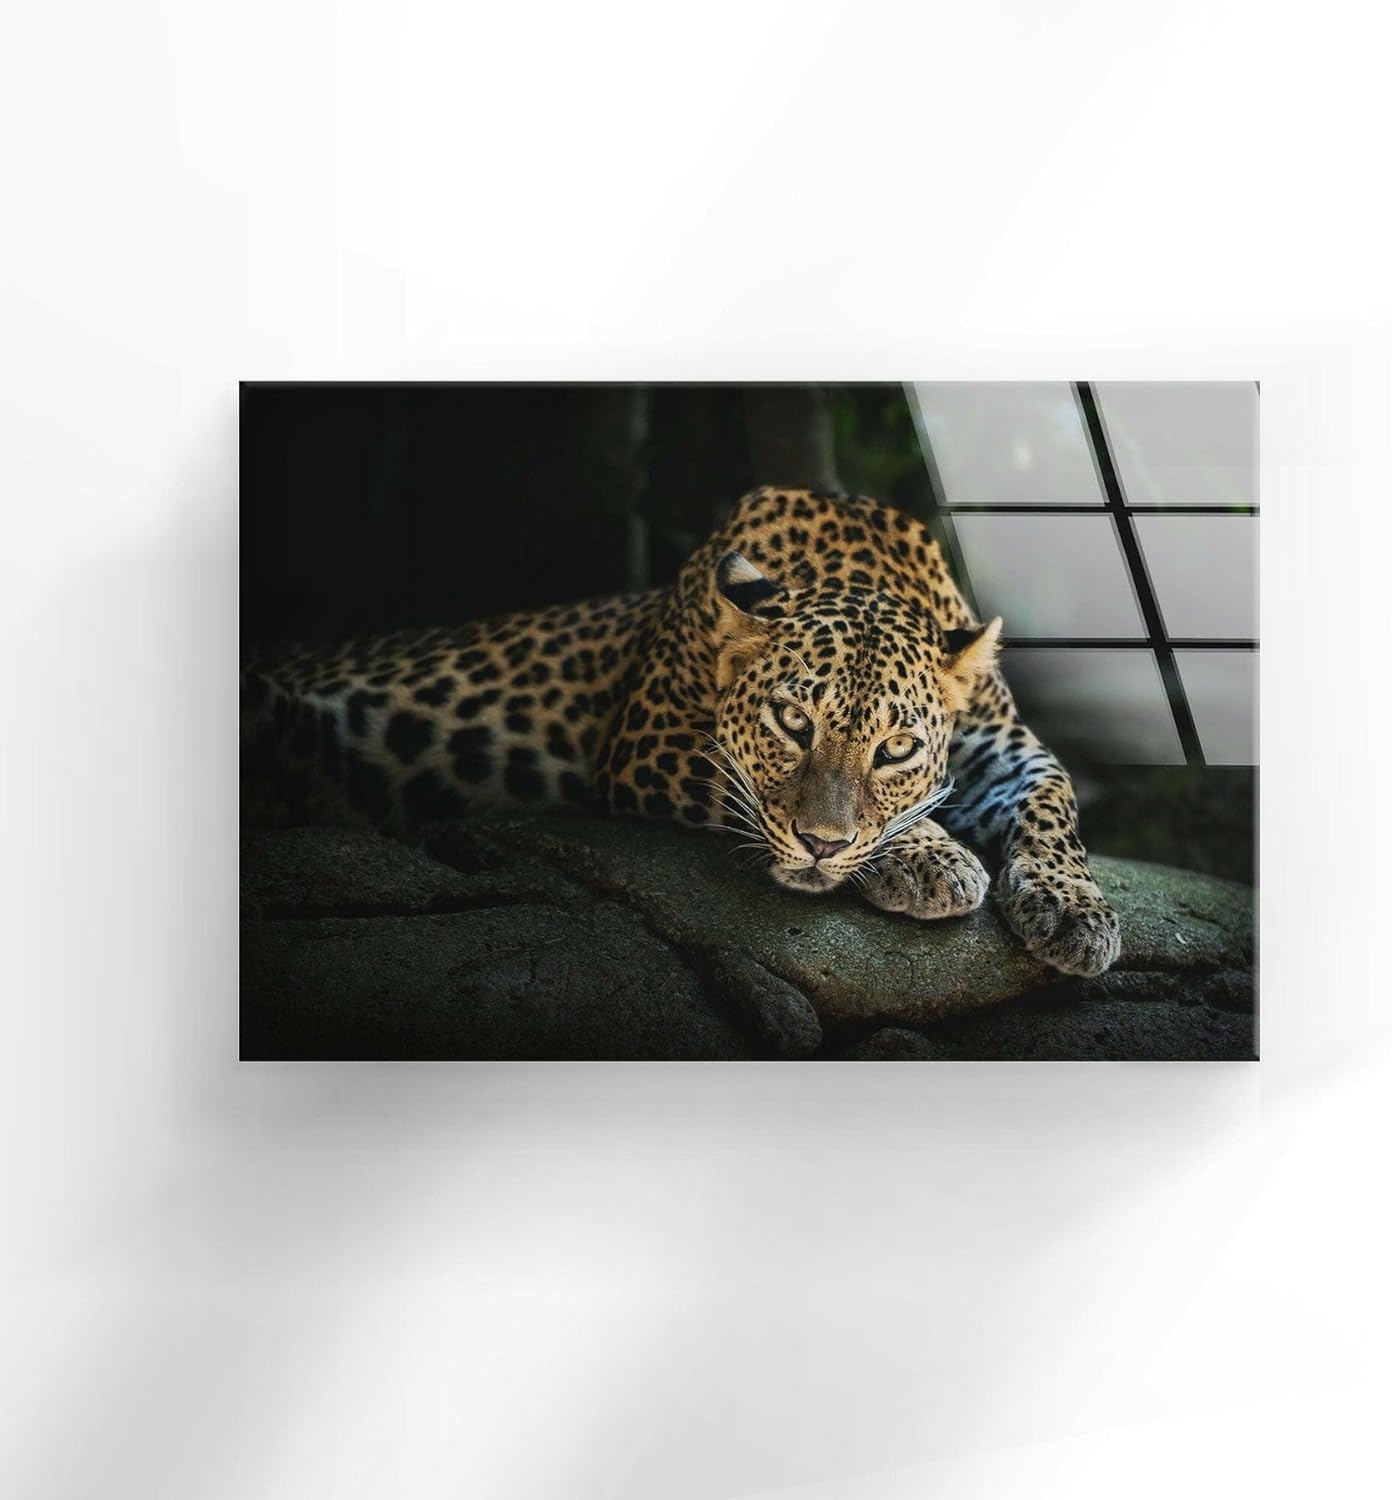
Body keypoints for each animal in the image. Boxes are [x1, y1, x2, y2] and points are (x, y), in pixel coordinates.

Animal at [243, 486, 1122, 977]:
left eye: (897, 748)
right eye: (791, 722)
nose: (823, 847)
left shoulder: (1005, 746)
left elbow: (1055, 800)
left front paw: (1075, 911)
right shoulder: (648, 742)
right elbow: (755, 794)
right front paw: (933, 857)